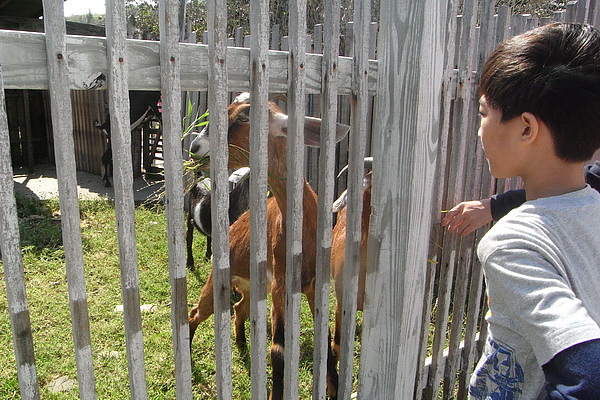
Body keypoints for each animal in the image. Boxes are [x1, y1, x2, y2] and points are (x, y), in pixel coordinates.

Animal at [186, 95, 346, 398]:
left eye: (243, 116)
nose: (194, 147)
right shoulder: (280, 285)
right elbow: (278, 351)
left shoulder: (313, 283)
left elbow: (326, 337)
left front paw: (333, 385)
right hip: (218, 280)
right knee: (194, 314)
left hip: (252, 286)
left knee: (240, 308)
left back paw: (241, 345)